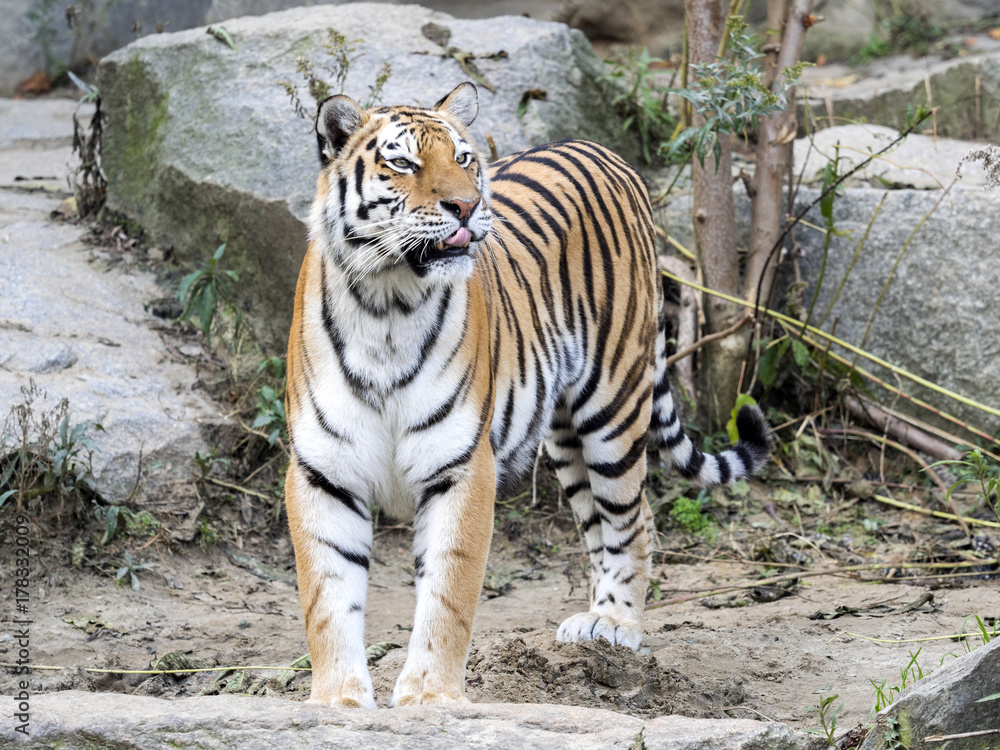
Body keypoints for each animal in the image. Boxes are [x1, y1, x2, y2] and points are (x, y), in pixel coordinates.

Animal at [284, 81, 772, 709]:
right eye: (404, 163)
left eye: (463, 158)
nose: (465, 207)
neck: (388, 304)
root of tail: (604, 151)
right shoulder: (323, 471)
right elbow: (327, 600)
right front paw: (338, 702)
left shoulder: (461, 466)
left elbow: (447, 597)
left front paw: (431, 697)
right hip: (562, 433)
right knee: (601, 522)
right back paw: (594, 623)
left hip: (613, 407)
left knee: (633, 519)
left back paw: (617, 625)